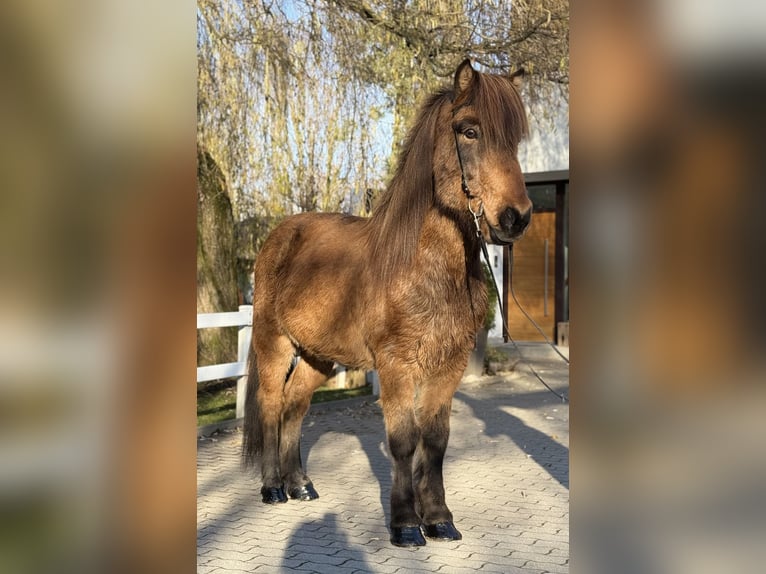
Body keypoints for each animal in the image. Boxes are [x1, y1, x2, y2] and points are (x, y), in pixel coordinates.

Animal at [243, 59, 533, 547]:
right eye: (469, 131)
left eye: (514, 139)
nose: (516, 217)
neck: (423, 268)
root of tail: (279, 234)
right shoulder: (397, 365)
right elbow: (403, 441)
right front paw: (405, 525)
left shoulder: (448, 368)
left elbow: (435, 441)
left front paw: (439, 519)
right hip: (274, 344)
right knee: (270, 403)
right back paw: (272, 488)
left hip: (318, 356)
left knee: (295, 404)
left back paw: (301, 485)